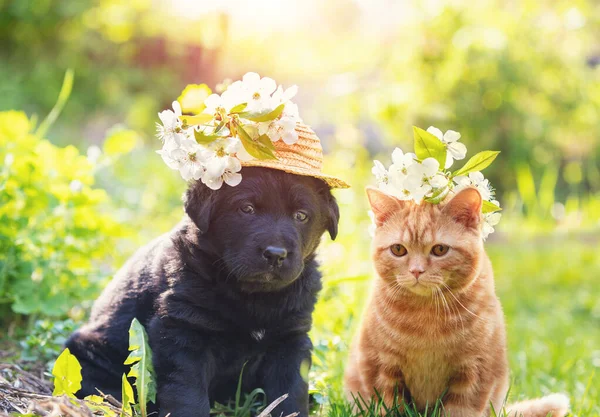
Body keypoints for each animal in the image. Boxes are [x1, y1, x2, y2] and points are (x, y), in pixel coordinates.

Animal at [67, 167, 338, 416]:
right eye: (247, 209)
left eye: (301, 216)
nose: (275, 254)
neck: (252, 296)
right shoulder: (183, 332)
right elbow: (187, 391)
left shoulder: (290, 339)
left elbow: (291, 390)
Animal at [344, 188, 568, 416]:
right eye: (398, 249)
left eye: (440, 250)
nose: (416, 271)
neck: (425, 318)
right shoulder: (380, 368)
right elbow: (390, 406)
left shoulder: (475, 372)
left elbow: (460, 409)